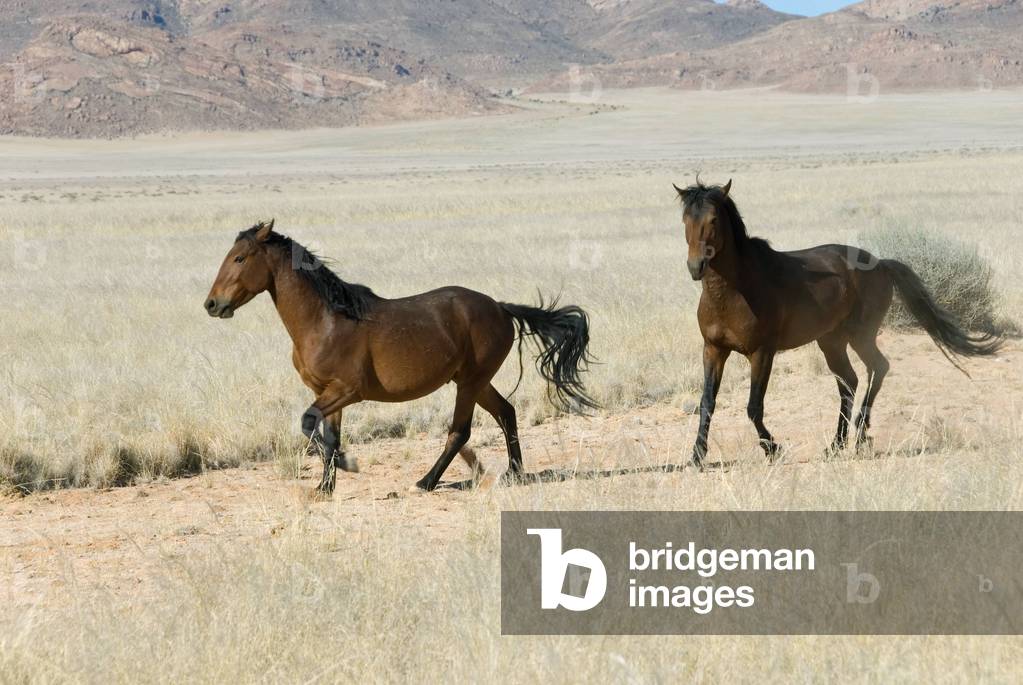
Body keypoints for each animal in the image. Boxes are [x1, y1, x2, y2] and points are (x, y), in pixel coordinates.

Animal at [204, 220, 596, 494]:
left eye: (239, 257)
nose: (212, 304)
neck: (325, 321)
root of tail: (501, 308)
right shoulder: (327, 393)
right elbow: (327, 436)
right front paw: (324, 488)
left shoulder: (347, 391)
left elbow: (308, 423)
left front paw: (348, 465)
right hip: (475, 381)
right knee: (506, 413)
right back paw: (513, 474)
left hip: (470, 383)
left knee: (460, 431)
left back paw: (425, 482)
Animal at [675, 179, 1002, 468]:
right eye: (685, 219)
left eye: (714, 219)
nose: (695, 266)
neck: (733, 290)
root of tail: (882, 263)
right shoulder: (713, 350)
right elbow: (707, 403)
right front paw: (697, 456)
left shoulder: (762, 353)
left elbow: (754, 406)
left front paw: (773, 449)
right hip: (831, 342)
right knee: (850, 381)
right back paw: (837, 444)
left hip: (860, 336)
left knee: (877, 368)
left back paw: (860, 433)